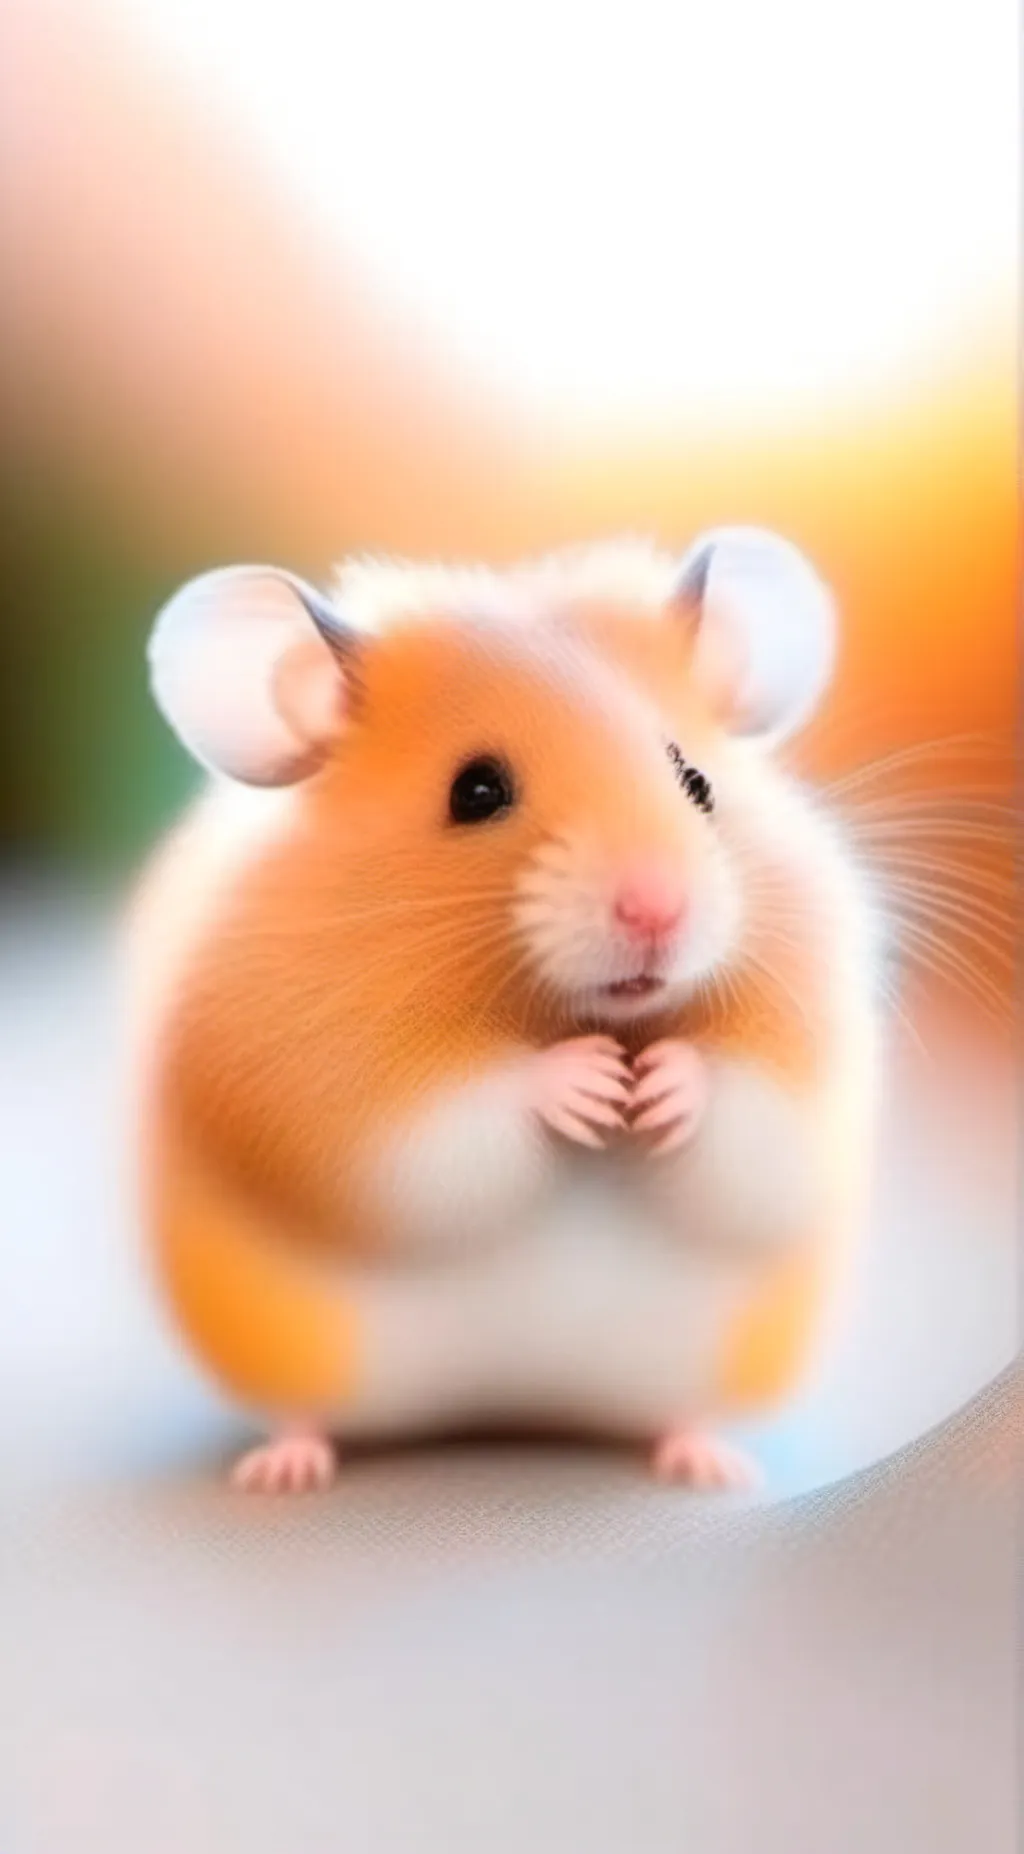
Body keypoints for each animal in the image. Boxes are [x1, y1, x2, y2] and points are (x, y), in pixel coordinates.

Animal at [132, 532, 880, 1494]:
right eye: (475, 791)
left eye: (698, 782)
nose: (658, 909)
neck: (569, 1010)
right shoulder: (329, 1093)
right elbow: (453, 1119)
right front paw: (591, 1085)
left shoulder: (805, 1076)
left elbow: (753, 1128)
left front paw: (659, 1084)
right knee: (302, 1415)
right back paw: (283, 1473)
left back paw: (709, 1465)